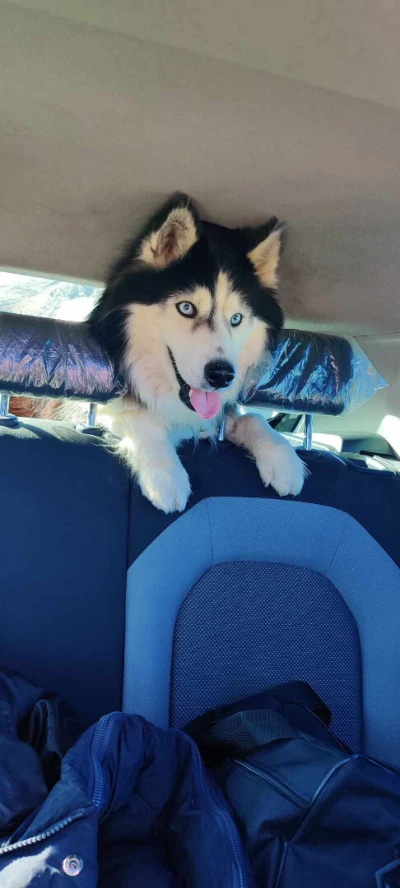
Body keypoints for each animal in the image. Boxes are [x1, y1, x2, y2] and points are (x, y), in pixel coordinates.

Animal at [89, 193, 306, 513]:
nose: (222, 376)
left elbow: (251, 417)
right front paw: (166, 474)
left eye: (237, 318)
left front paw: (283, 459)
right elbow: (136, 414)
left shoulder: (213, 420)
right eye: (186, 308)